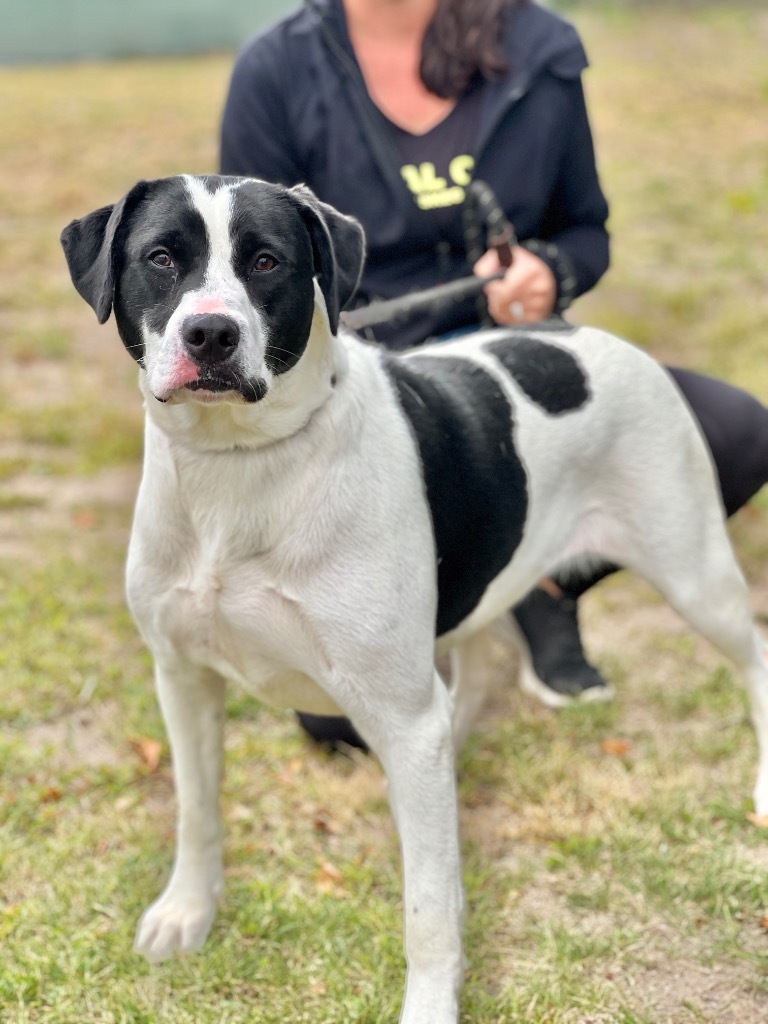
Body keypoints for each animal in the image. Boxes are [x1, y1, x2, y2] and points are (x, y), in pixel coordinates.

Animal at [61, 178, 768, 1024]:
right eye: (161, 258)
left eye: (266, 261)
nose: (210, 334)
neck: (240, 464)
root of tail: (565, 329)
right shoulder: (183, 675)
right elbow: (197, 810)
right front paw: (187, 913)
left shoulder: (398, 707)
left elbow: (428, 907)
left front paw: (430, 1000)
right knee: (476, 675)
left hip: (692, 567)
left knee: (753, 653)